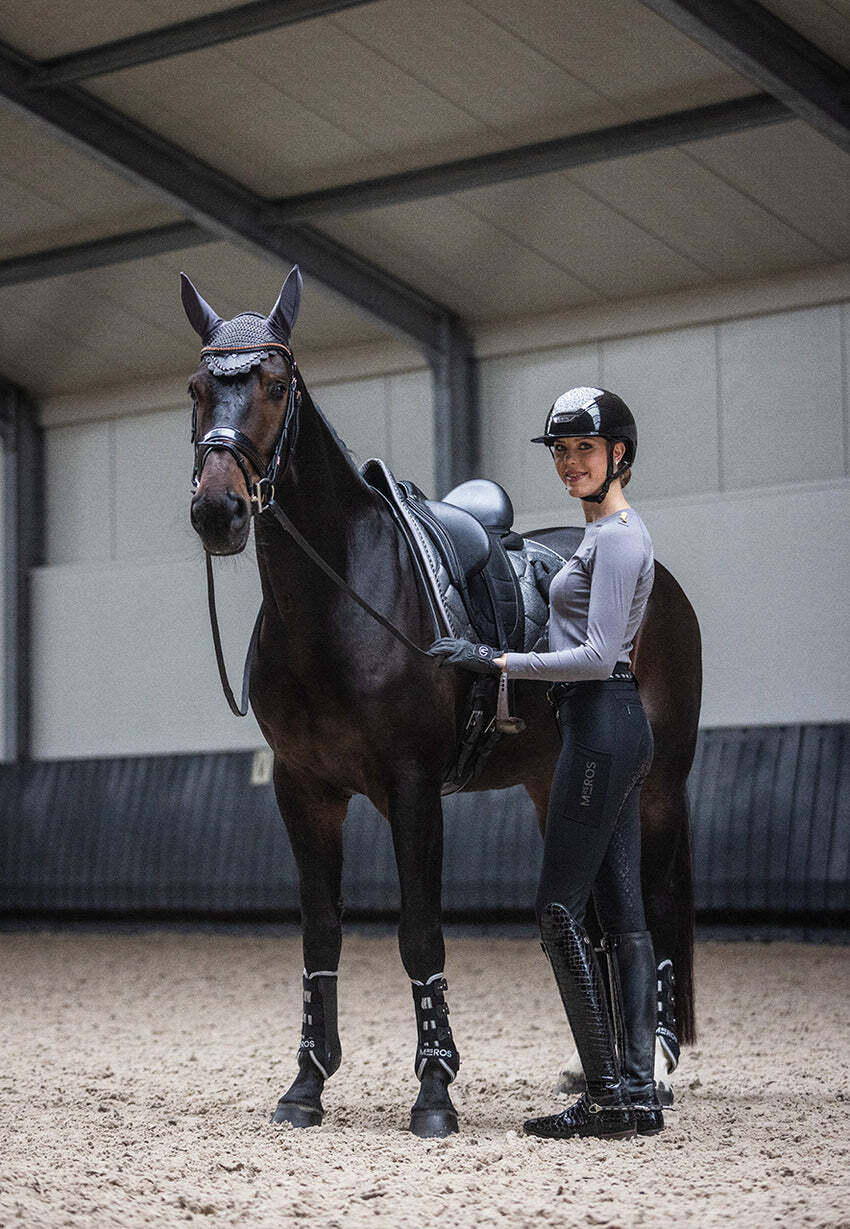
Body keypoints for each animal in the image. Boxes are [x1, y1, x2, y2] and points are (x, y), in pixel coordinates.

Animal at [183, 266, 701, 1138]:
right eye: (196, 387)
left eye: (275, 384)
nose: (217, 510)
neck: (339, 595)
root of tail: (664, 582)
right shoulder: (303, 788)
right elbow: (321, 931)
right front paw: (306, 1083)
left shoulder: (414, 787)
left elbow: (421, 933)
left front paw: (434, 1089)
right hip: (556, 786)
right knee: (595, 920)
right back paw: (596, 1075)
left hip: (656, 786)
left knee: (653, 913)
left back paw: (650, 1076)